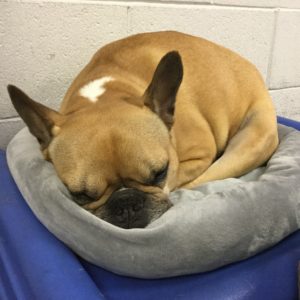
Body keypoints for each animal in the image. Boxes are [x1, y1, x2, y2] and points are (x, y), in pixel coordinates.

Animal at [7, 31, 278, 227]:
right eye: (81, 194)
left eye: (159, 173)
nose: (125, 203)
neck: (108, 95)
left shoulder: (199, 156)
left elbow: (177, 181)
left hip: (249, 143)